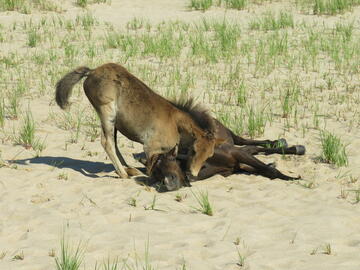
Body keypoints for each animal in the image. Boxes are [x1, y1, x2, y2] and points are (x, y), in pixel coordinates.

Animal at [54, 62, 217, 182]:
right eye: (194, 150)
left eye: (209, 155)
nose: (193, 175)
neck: (175, 122)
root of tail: (92, 71)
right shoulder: (150, 148)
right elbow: (150, 169)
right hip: (107, 112)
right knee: (107, 143)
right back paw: (124, 173)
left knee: (113, 143)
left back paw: (129, 169)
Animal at [134, 98, 306, 190]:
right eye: (156, 174)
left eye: (167, 160)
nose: (168, 184)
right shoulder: (237, 165)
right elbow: (264, 169)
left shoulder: (235, 153)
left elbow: (269, 171)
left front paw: (293, 178)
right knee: (252, 148)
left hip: (230, 136)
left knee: (246, 141)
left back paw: (291, 147)